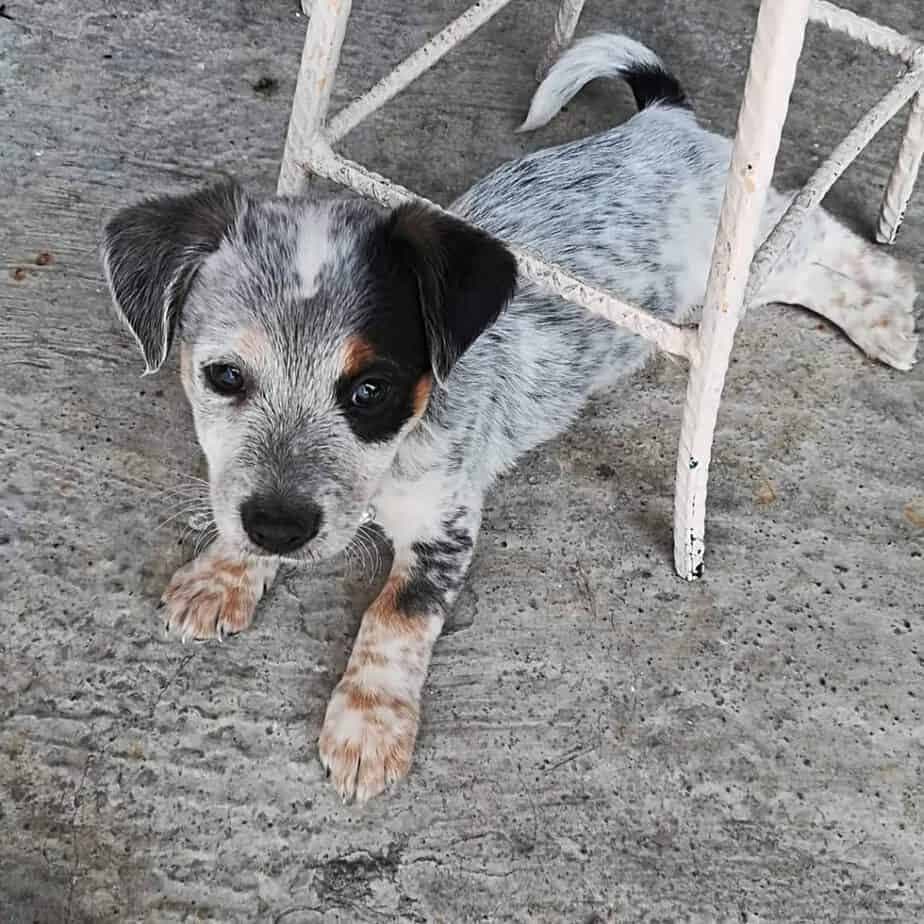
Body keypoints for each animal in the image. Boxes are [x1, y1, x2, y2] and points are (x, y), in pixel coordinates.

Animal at [101, 34, 916, 800]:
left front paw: (368, 725)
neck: (397, 456)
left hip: (733, 255)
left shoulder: (447, 524)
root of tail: (665, 119)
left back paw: (888, 308)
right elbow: (240, 516)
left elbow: (395, 617)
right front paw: (225, 574)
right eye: (223, 376)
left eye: (370, 391)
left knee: (812, 235)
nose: (279, 529)